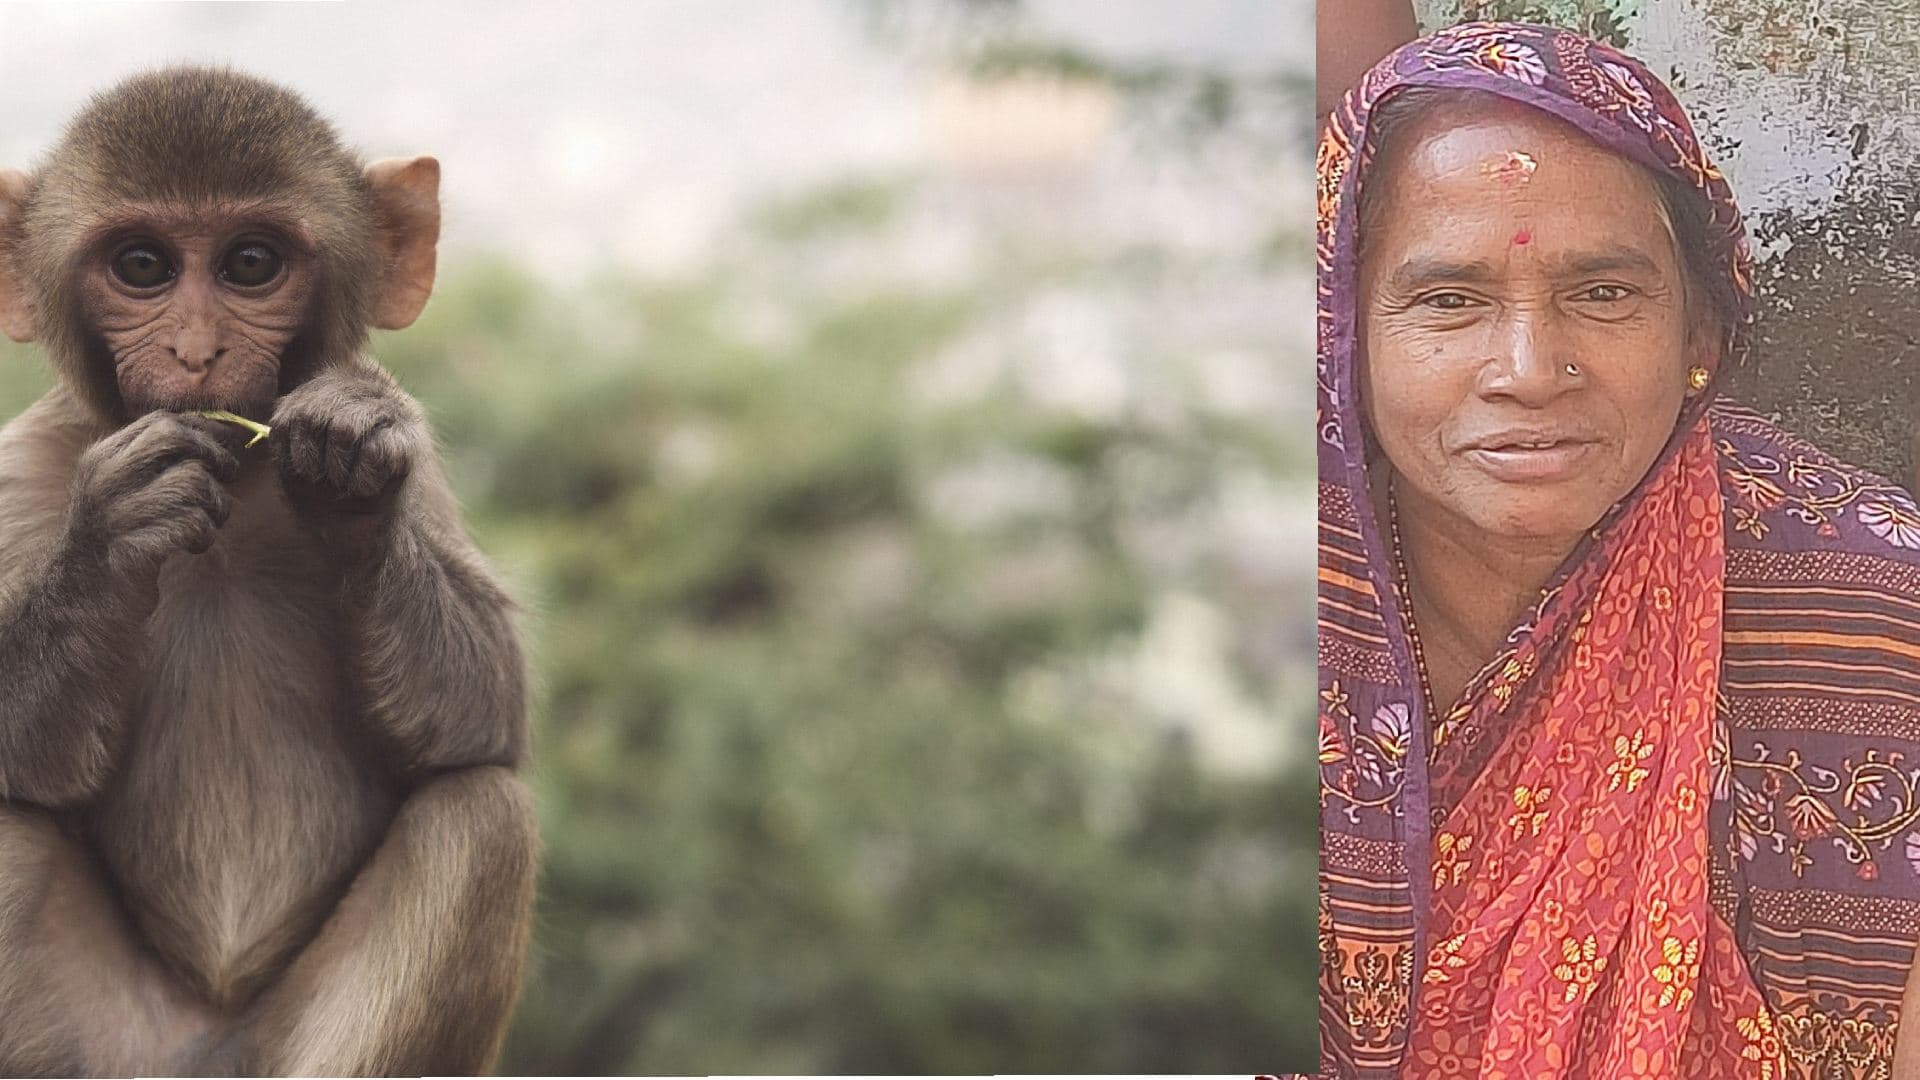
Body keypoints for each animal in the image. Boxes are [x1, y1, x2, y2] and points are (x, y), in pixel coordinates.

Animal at [0, 66, 538, 1075]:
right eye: (143, 267)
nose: (197, 353)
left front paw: (349, 481)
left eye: (251, 264)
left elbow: (485, 711)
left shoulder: (421, 458)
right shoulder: (23, 469)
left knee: (481, 819)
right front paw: (114, 533)